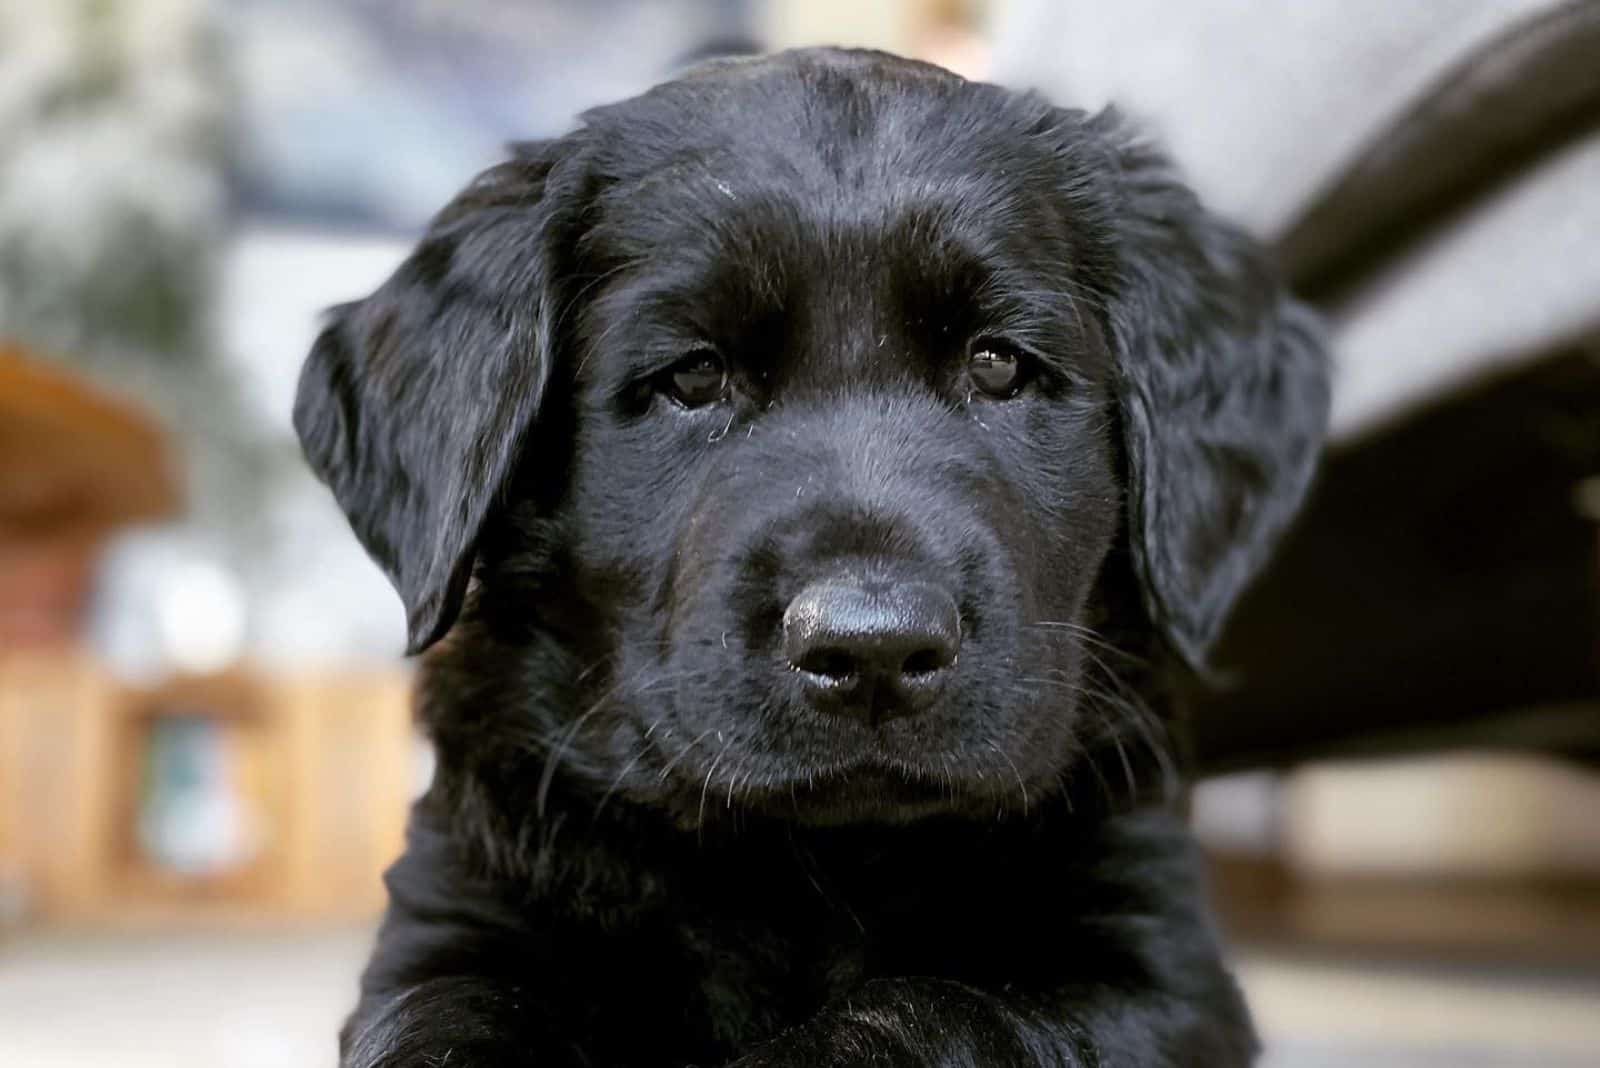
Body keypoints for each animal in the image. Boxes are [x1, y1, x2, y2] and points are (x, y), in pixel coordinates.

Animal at [297, 45, 1324, 1061]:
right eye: (694, 376)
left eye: (999, 365)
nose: (873, 647)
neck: (813, 868)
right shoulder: (457, 922)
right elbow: (444, 1019)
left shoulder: (1153, 973)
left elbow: (931, 1007)